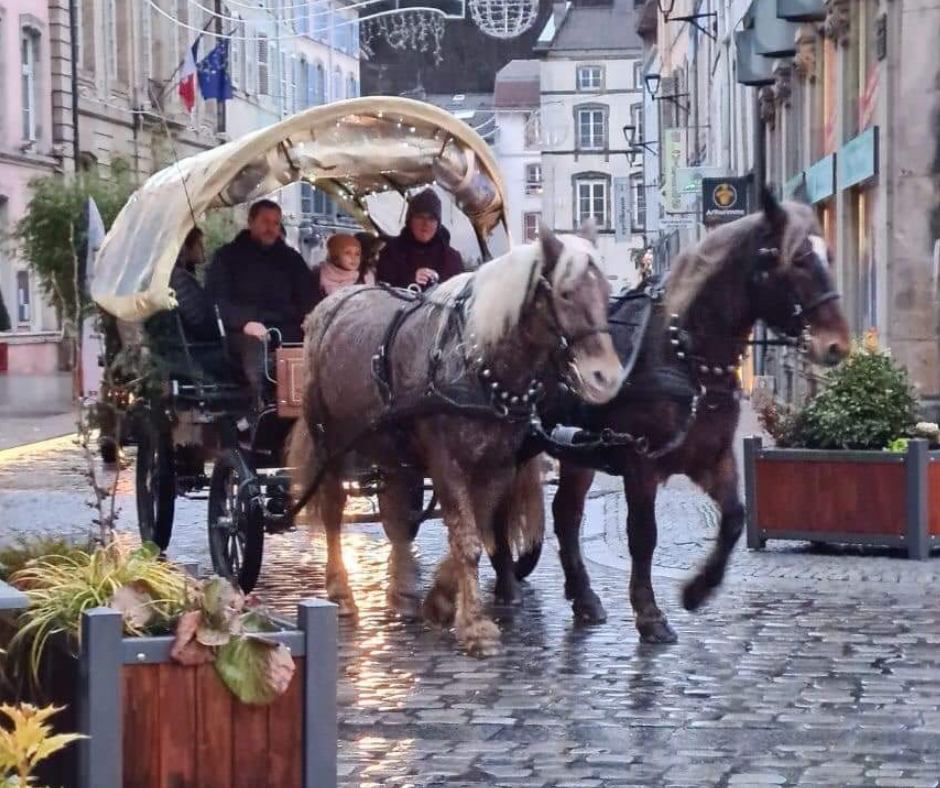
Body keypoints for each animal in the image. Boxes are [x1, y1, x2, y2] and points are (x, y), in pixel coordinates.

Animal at [286, 229, 624, 660]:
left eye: (607, 291)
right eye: (565, 294)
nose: (607, 377)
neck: (476, 361)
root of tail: (326, 309)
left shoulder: (497, 464)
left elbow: (478, 529)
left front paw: (441, 602)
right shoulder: (447, 464)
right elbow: (467, 540)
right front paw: (474, 626)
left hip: (395, 454)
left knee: (398, 517)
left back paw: (402, 594)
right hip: (331, 444)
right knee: (333, 512)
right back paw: (341, 593)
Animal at [500, 189, 852, 640]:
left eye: (828, 254)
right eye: (796, 260)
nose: (837, 344)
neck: (683, 356)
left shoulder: (711, 459)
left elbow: (735, 518)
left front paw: (697, 591)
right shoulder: (640, 463)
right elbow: (643, 536)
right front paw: (649, 613)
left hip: (578, 454)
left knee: (565, 516)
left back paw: (584, 597)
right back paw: (505, 583)